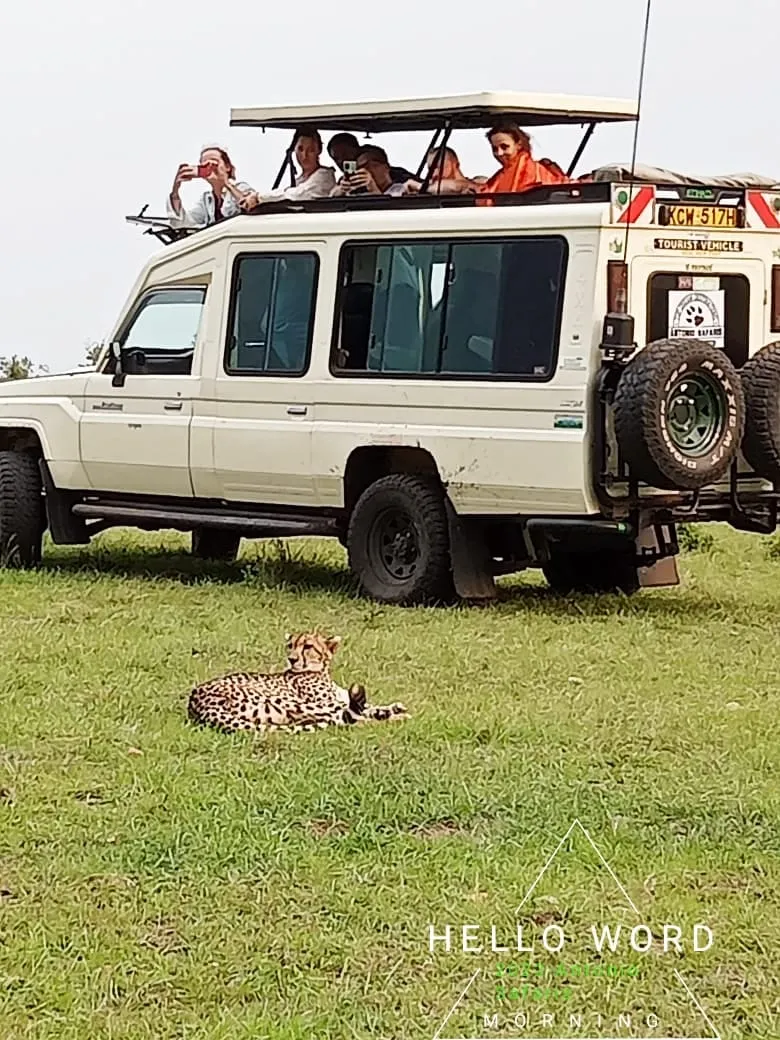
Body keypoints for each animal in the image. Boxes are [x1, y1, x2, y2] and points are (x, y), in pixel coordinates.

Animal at [187, 631, 410, 735]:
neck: (320, 670)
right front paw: (391, 712)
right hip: (292, 703)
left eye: (308, 646)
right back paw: (392, 720)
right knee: (343, 719)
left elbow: (369, 705)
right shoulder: (326, 701)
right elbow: (360, 707)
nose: (292, 659)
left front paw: (392, 707)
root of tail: (195, 702)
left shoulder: (340, 698)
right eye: (290, 645)